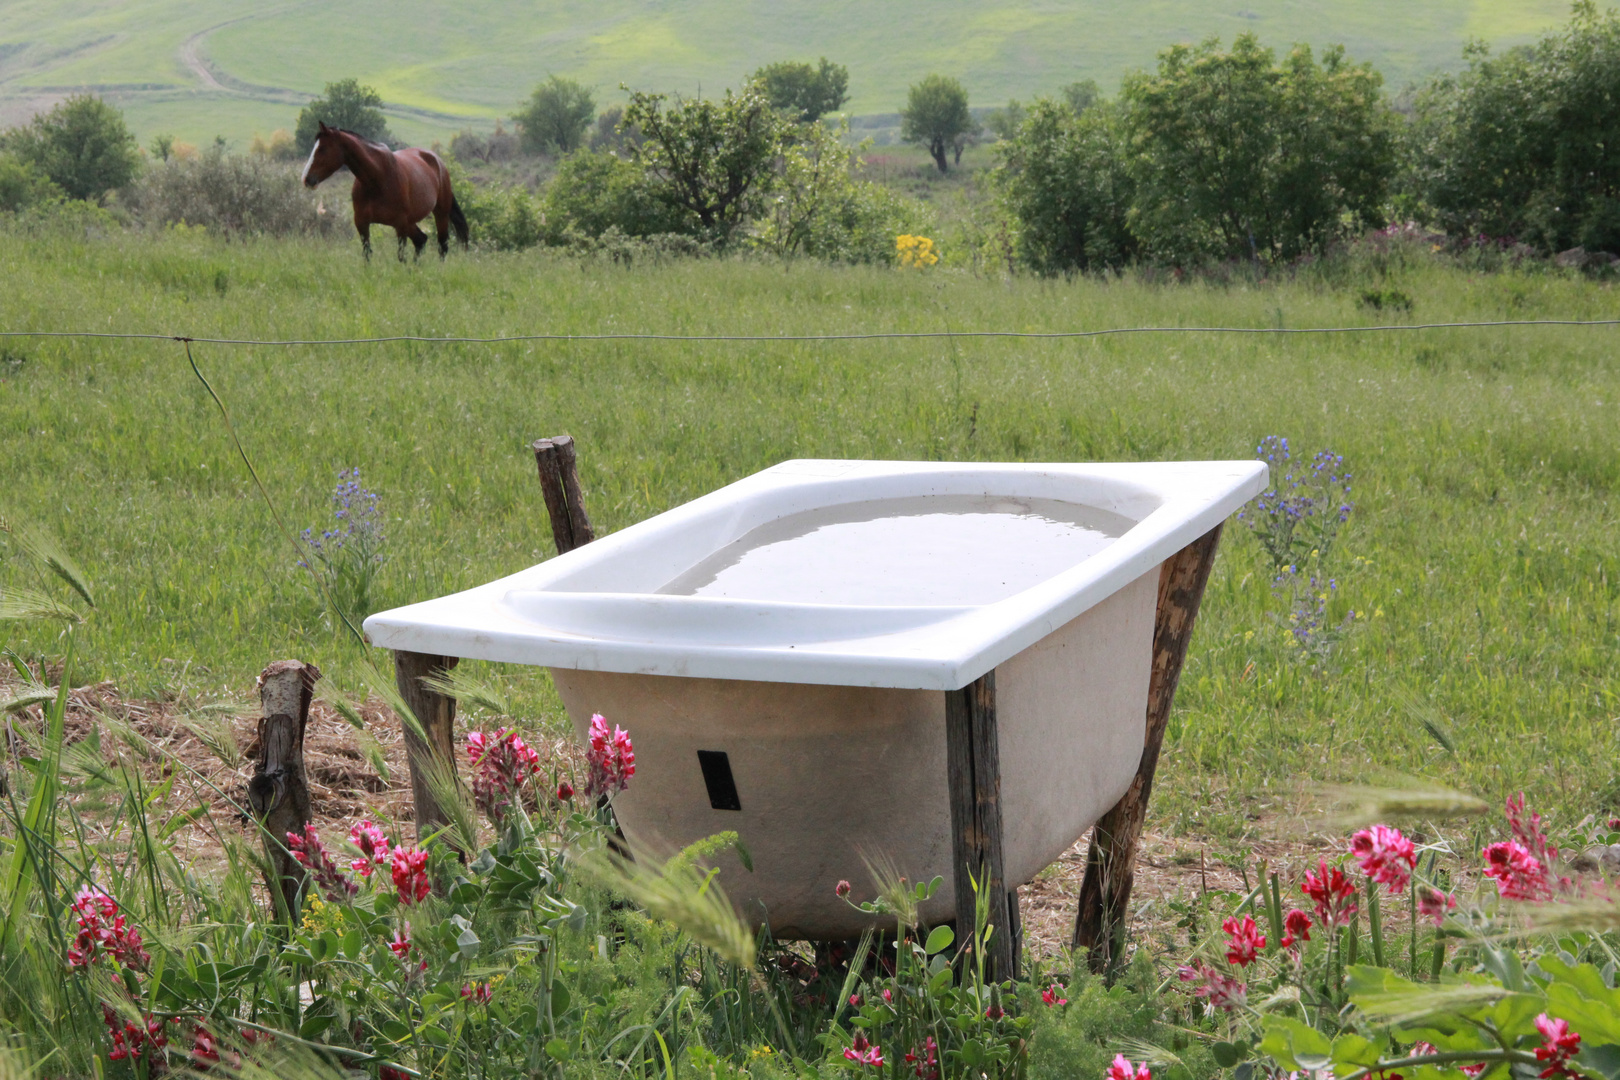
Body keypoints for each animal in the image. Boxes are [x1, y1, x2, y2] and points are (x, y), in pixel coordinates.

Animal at [304, 122, 469, 262]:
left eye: (322, 149)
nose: (306, 178)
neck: (378, 179)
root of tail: (437, 161)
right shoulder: (362, 222)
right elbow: (367, 254)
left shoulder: (400, 225)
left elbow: (401, 256)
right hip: (411, 222)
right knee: (421, 240)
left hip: (440, 214)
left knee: (442, 246)